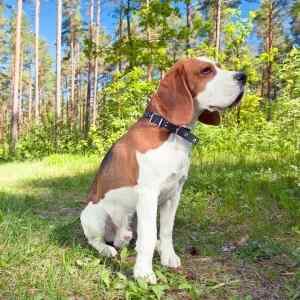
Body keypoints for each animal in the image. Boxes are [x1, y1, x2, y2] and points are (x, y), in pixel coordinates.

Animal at [79, 56, 246, 284]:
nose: (244, 76)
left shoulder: (174, 194)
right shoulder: (149, 195)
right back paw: (107, 249)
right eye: (205, 70)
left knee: (129, 238)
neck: (172, 132)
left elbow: (166, 230)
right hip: (93, 215)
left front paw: (168, 256)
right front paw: (143, 273)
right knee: (97, 241)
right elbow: (149, 236)